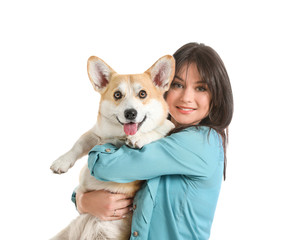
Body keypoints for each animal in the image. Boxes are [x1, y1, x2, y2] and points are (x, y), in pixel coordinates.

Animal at [50, 54, 176, 240]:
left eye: (143, 94)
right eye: (117, 94)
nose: (130, 113)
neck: (118, 135)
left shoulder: (167, 127)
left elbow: (160, 130)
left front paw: (140, 138)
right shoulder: (95, 133)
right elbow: (78, 144)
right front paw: (62, 162)